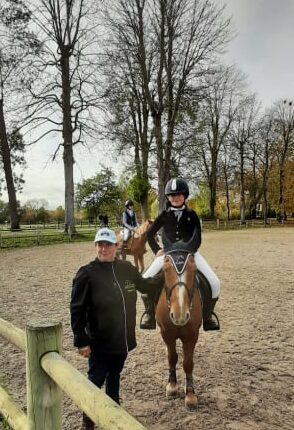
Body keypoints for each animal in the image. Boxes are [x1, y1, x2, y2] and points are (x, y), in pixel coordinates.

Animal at [154, 237, 202, 412]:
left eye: (194, 269)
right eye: (165, 269)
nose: (180, 315)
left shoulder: (192, 335)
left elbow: (188, 363)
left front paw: (190, 395)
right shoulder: (166, 333)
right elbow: (172, 357)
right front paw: (172, 386)